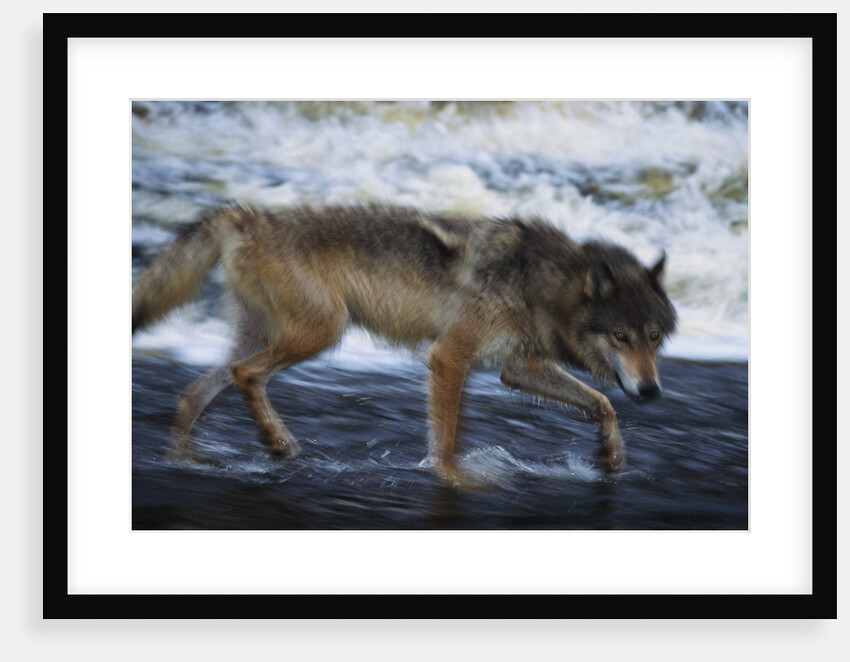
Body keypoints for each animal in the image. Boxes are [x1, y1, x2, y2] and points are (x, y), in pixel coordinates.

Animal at [132, 205, 677, 487]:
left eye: (653, 337)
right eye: (621, 337)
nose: (651, 391)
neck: (537, 281)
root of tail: (245, 215)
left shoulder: (516, 368)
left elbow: (603, 403)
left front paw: (611, 458)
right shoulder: (449, 357)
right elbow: (448, 439)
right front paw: (455, 480)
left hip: (271, 336)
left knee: (193, 393)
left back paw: (188, 460)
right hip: (321, 333)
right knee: (246, 374)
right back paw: (279, 445)